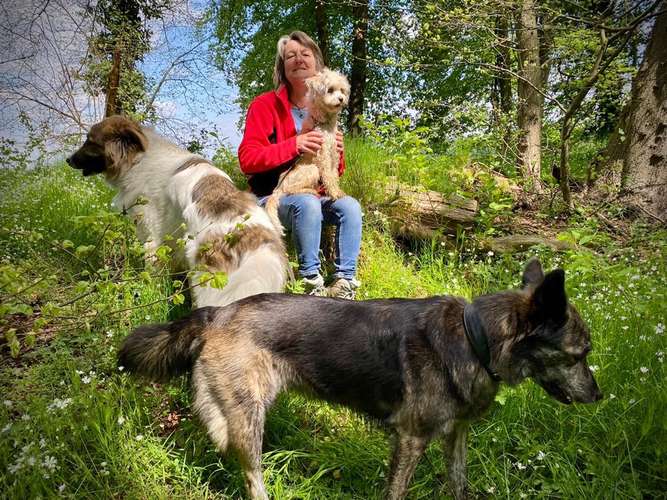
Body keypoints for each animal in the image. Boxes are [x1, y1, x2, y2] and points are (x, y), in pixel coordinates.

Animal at [120, 260, 604, 498]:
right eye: (581, 354)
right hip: (248, 418)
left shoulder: (456, 435)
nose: (598, 396)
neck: (475, 338)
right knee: (252, 476)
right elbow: (397, 492)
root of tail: (216, 312)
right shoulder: (410, 440)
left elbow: (458, 482)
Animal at [264, 68, 352, 232]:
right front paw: (335, 192)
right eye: (330, 90)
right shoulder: (322, 155)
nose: (341, 99)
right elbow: (329, 176)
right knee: (290, 190)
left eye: (342, 90)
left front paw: (336, 190)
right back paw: (310, 191)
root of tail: (277, 189)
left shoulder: (334, 155)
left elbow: (334, 175)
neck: (325, 124)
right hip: (312, 169)